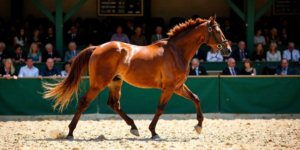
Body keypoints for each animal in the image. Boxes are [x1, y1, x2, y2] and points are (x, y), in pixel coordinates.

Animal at [42, 15, 230, 139]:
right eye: (217, 30)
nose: (228, 50)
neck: (176, 51)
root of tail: (97, 48)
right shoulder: (169, 87)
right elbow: (160, 108)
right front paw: (154, 132)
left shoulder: (178, 86)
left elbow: (196, 98)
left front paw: (199, 126)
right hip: (99, 83)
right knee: (84, 102)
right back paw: (70, 133)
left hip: (115, 82)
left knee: (114, 104)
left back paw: (134, 127)